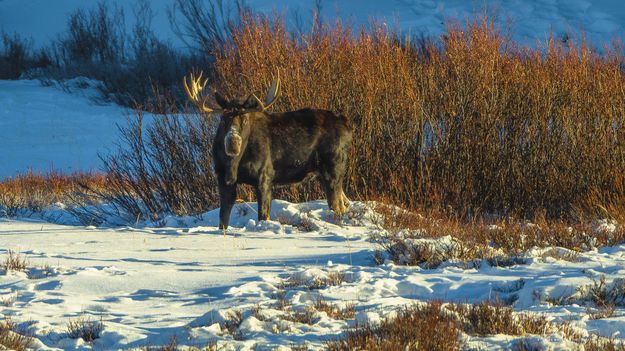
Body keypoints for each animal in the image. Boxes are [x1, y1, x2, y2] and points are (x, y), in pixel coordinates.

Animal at [184, 72, 352, 232]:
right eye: (223, 119)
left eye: (245, 119)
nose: (233, 143)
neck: (233, 165)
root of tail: (346, 125)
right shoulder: (222, 179)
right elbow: (223, 220)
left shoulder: (265, 177)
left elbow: (263, 216)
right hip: (324, 173)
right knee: (345, 203)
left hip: (333, 168)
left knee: (338, 207)